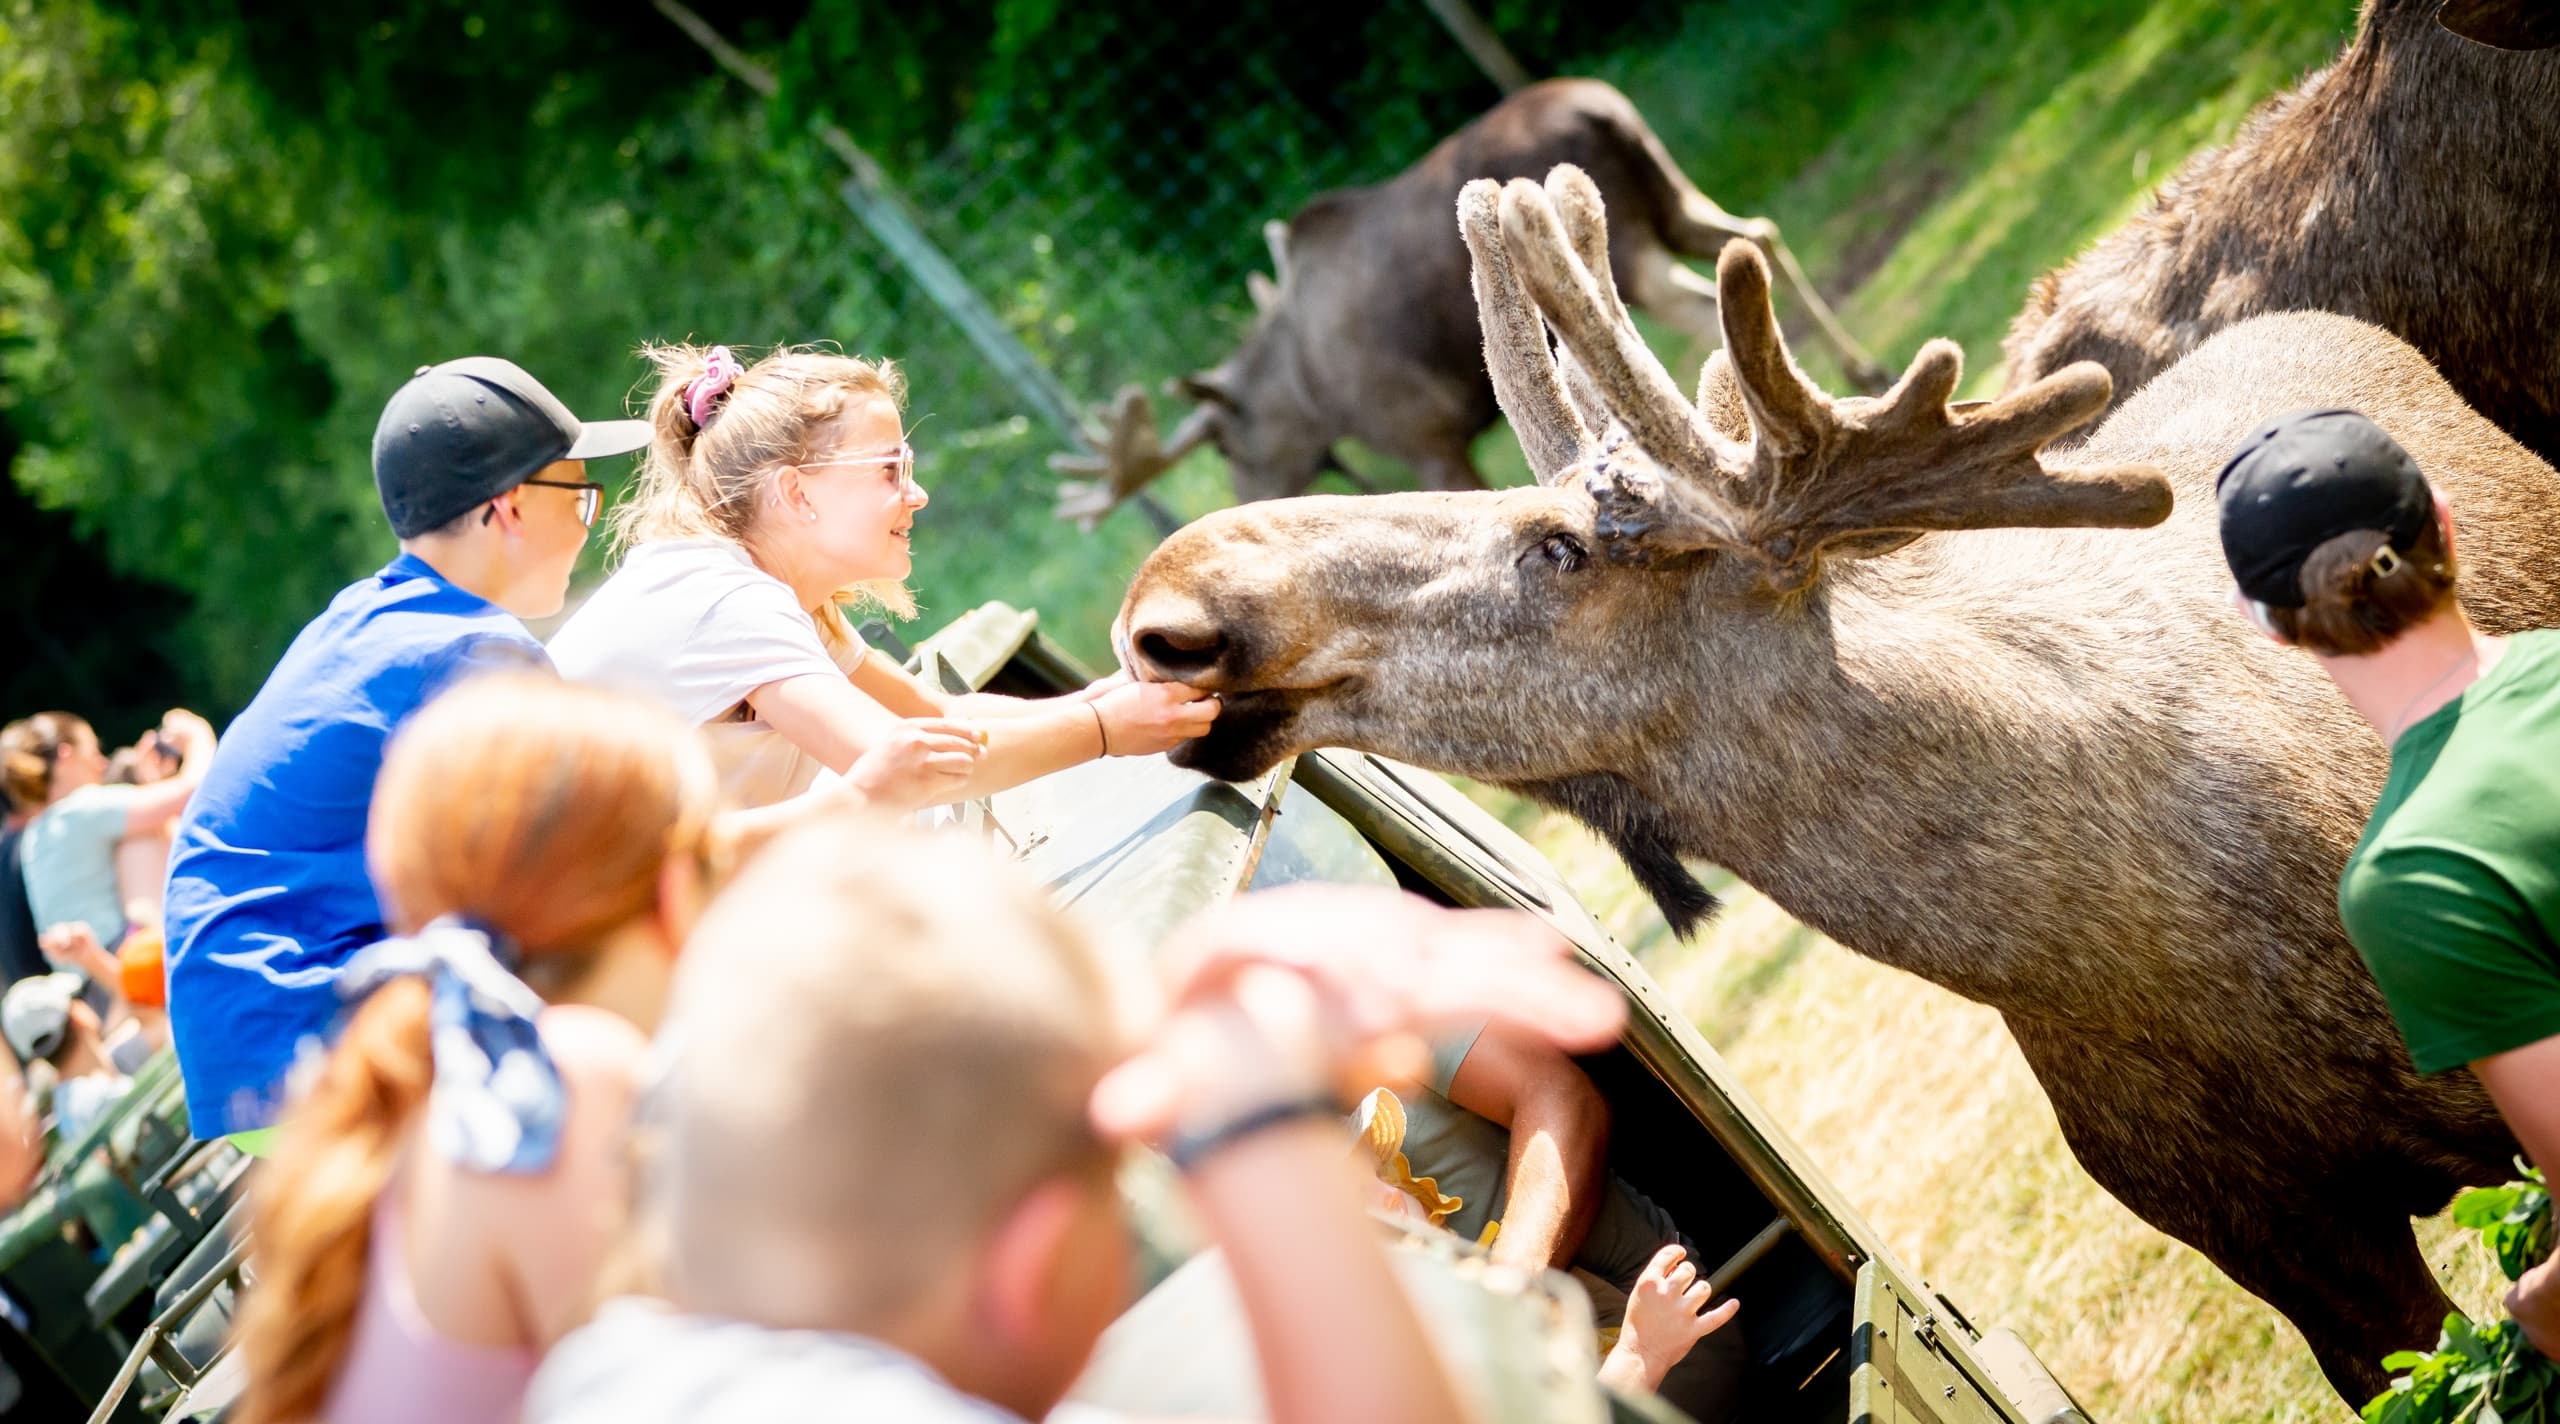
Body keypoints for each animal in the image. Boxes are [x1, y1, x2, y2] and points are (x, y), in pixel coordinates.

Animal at [1051, 79, 1885, 529]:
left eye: (1227, 446)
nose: (1238, 499)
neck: (1309, 391)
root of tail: (1603, 107)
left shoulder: (1429, 438)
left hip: (1626, 241)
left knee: (1682, 305)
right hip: (1670, 194)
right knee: (1755, 234)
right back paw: (1857, 370)